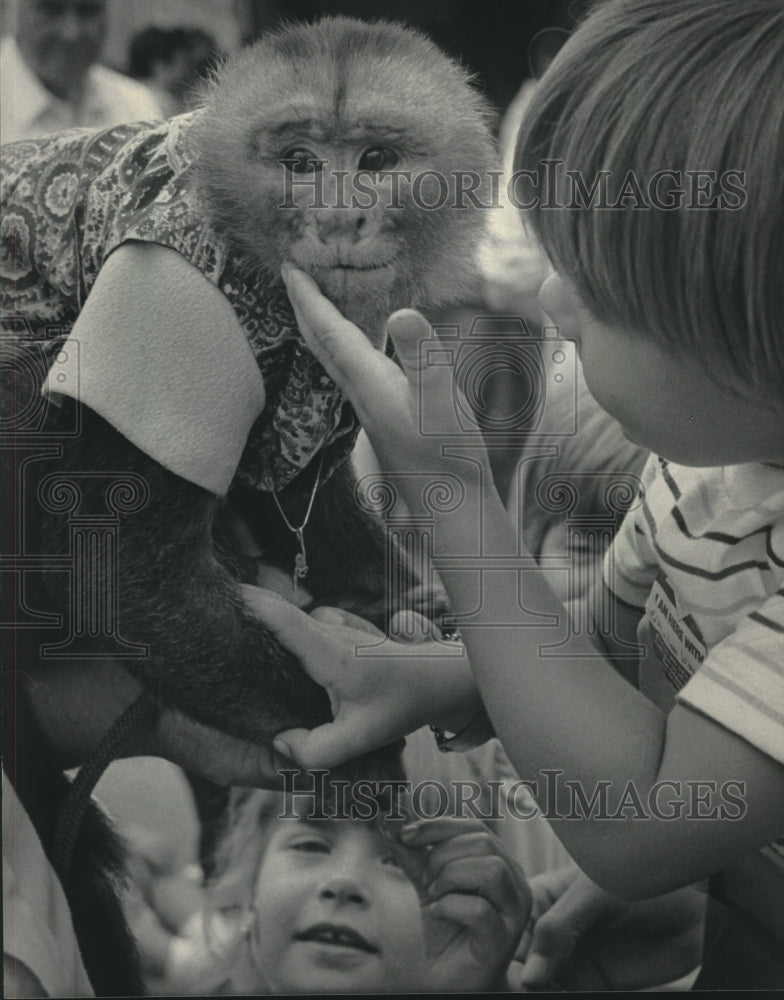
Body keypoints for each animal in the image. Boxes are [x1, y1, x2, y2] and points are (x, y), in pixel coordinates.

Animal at [1, 19, 496, 996]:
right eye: (300, 162)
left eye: (374, 160)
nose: (337, 218)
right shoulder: (182, 284)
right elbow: (126, 578)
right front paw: (364, 736)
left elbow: (300, 494)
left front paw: (403, 616)